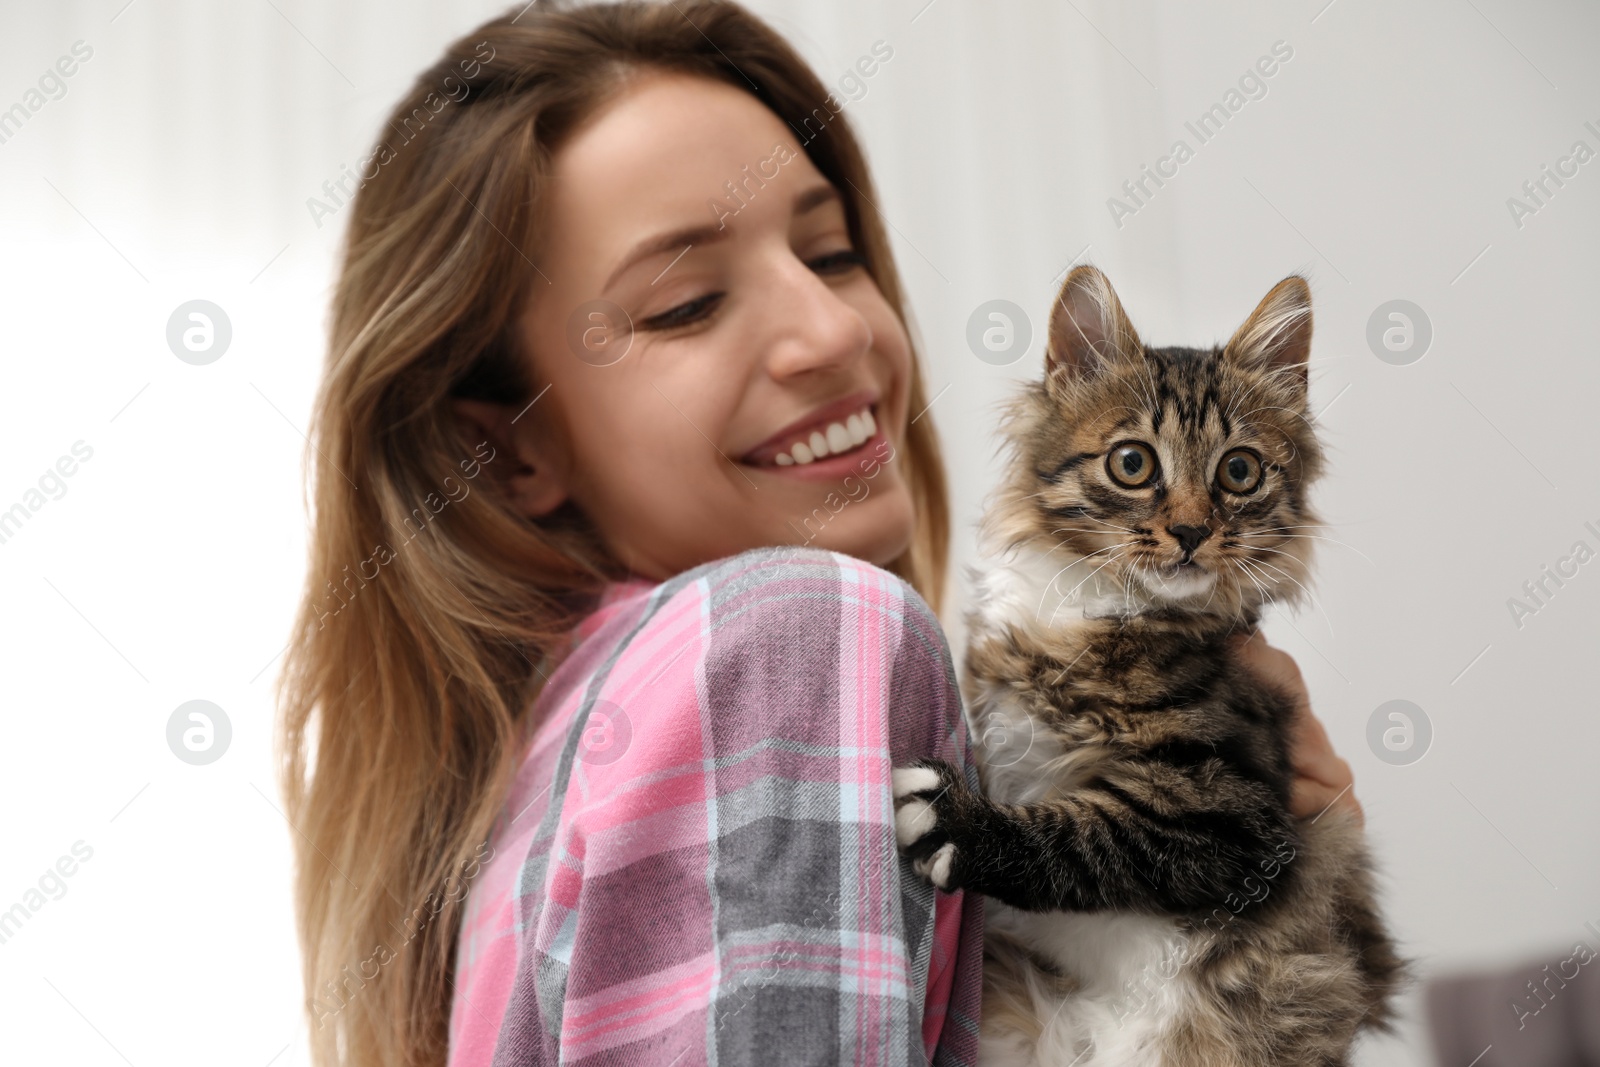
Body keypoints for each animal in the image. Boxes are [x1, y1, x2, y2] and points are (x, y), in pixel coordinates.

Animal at [896, 268, 1408, 1067]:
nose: (1193, 531)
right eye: (1132, 463)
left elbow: (1083, 838)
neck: (1090, 608)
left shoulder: (1234, 814)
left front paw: (958, 823)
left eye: (1239, 471)